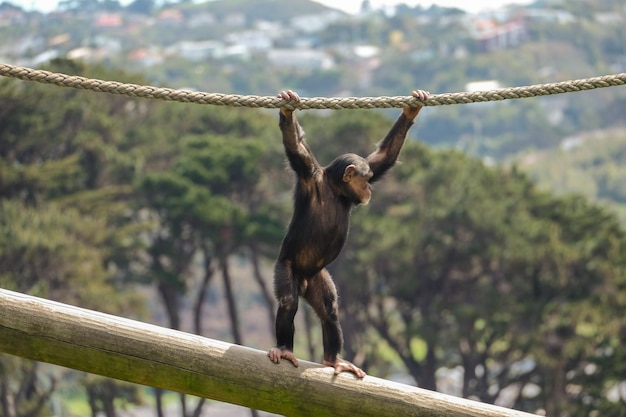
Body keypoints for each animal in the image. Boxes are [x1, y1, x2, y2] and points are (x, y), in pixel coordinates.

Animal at [266, 88, 426, 376]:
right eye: (366, 179)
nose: (369, 188)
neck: (334, 188)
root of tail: (304, 280)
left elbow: (383, 156)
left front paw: (411, 110)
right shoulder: (307, 173)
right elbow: (295, 147)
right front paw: (287, 111)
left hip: (318, 279)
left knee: (329, 310)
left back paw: (334, 359)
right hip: (287, 267)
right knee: (289, 300)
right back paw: (284, 348)